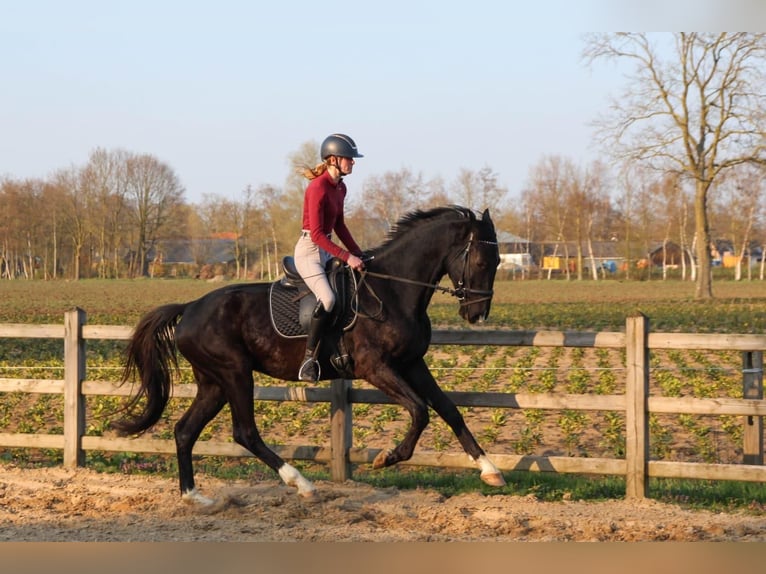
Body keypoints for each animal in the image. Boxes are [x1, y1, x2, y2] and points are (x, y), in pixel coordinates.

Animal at [113, 205, 506, 505]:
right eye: (482, 262)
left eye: (499, 261)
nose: (478, 315)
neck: (393, 290)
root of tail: (190, 307)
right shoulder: (375, 367)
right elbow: (420, 411)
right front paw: (387, 458)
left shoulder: (412, 363)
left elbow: (449, 409)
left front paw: (490, 470)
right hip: (234, 373)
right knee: (245, 432)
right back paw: (302, 484)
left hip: (213, 382)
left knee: (184, 431)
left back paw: (195, 497)